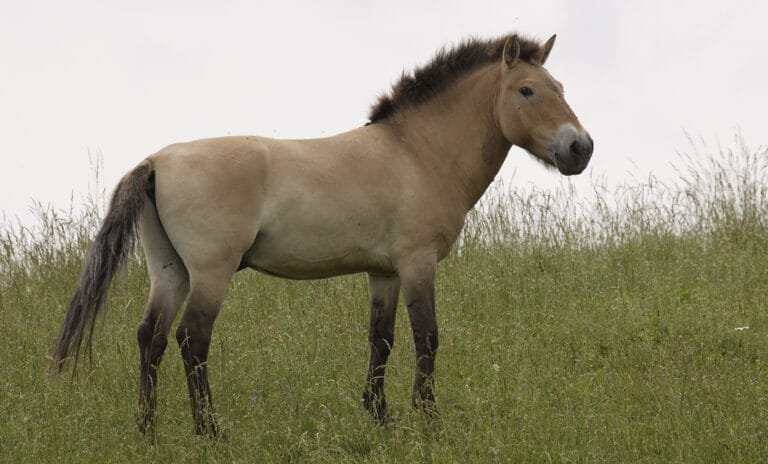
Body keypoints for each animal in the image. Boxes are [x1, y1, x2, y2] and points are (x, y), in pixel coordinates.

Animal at [55, 33, 593, 436]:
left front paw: (380, 416)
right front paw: (428, 420)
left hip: (170, 271)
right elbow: (427, 337)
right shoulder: (417, 263)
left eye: (560, 85)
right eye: (527, 90)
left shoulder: (384, 273)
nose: (580, 148)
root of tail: (155, 162)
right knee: (192, 338)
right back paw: (209, 431)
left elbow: (382, 340)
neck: (416, 152)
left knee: (152, 337)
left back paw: (147, 429)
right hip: (210, 272)